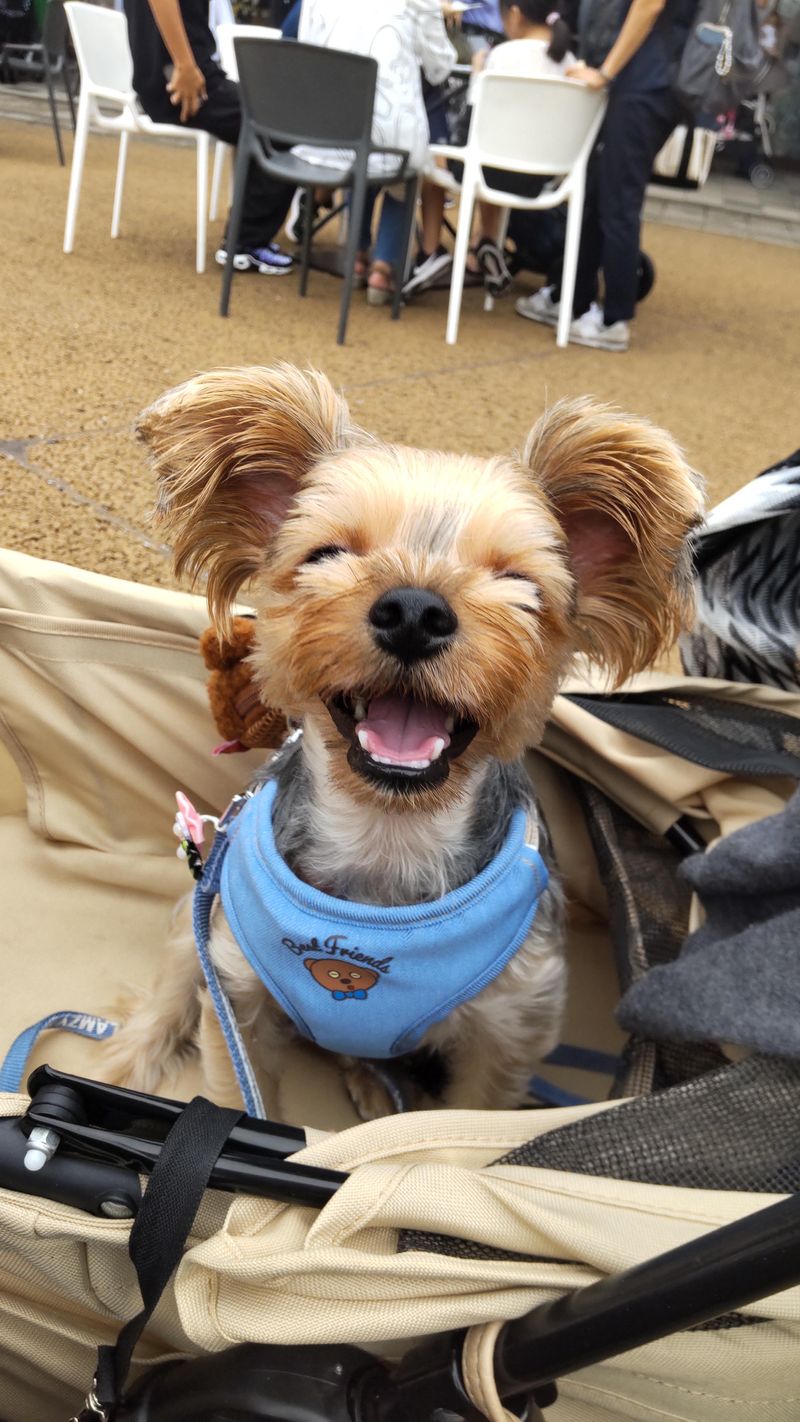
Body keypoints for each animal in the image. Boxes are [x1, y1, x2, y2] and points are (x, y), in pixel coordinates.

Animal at [104, 364, 702, 1120]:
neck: (387, 838)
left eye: (519, 584)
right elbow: (240, 1091)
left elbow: (466, 1115)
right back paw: (136, 1051)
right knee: (179, 971)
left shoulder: (509, 1030)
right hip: (202, 907)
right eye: (327, 554)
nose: (414, 610)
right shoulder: (237, 992)